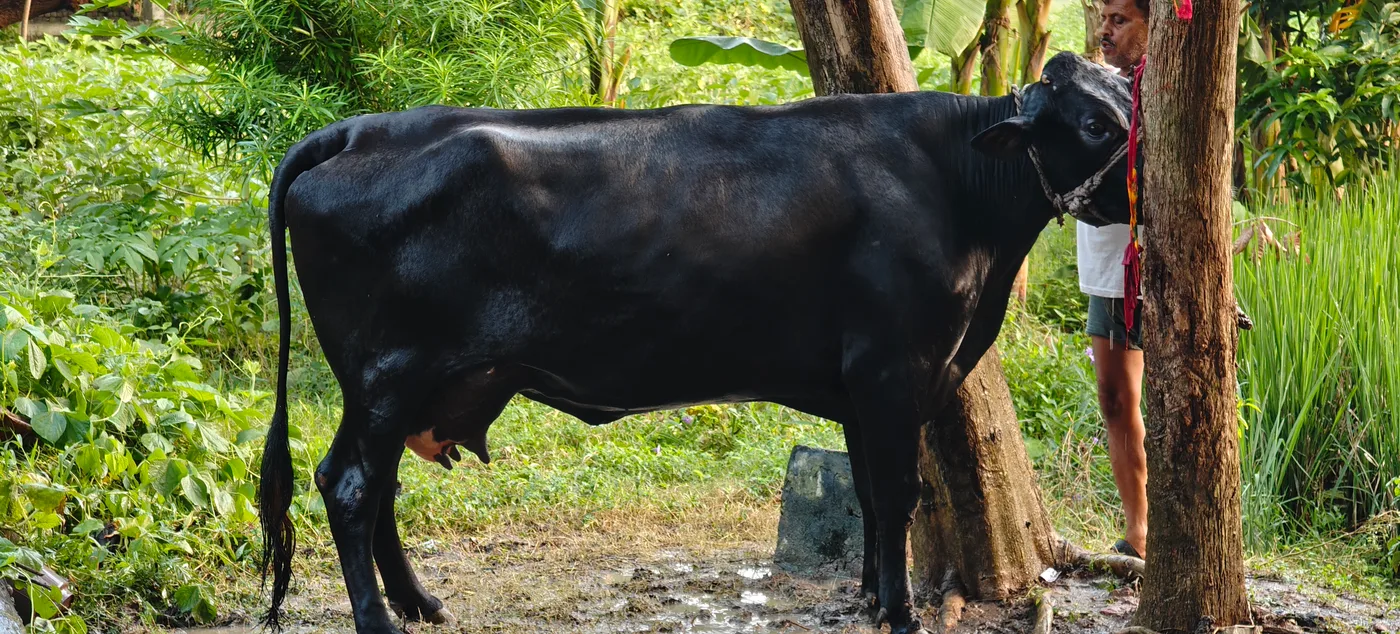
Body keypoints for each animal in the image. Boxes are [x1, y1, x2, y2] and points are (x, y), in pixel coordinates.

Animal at [256, 51, 1134, 634]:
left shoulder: (863, 382)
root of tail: (356, 130)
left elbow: (869, 494)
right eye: (1094, 125)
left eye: (1130, 91)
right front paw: (900, 611)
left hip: (400, 384)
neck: (957, 192)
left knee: (377, 487)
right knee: (351, 486)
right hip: (388, 374)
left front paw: (865, 596)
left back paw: (419, 602)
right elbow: (895, 494)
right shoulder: (896, 369)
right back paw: (380, 619)